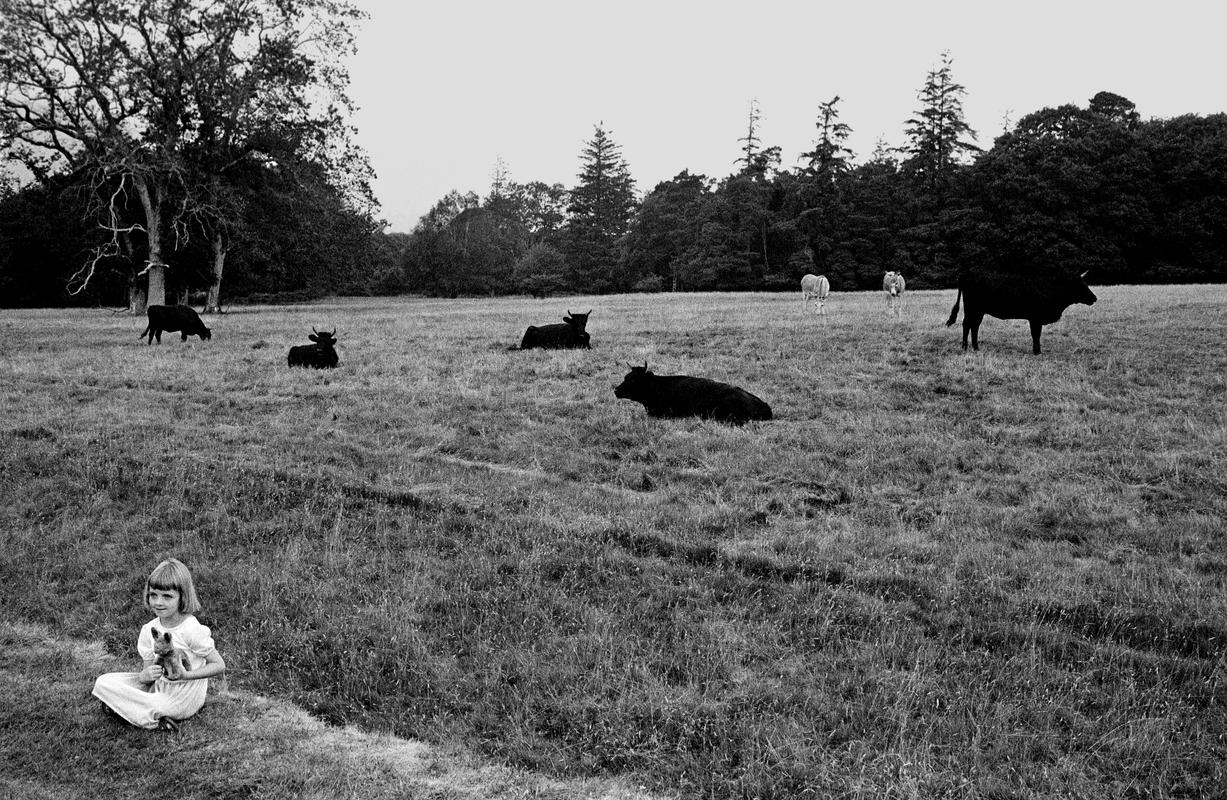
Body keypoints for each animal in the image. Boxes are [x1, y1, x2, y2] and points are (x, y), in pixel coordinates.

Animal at [942, 269, 1099, 355]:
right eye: (1081, 285)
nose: (1094, 298)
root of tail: (966, 274)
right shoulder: (1035, 318)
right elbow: (1036, 335)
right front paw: (1037, 352)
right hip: (972, 309)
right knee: (966, 325)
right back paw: (964, 347)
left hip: (979, 311)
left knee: (974, 327)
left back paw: (976, 348)